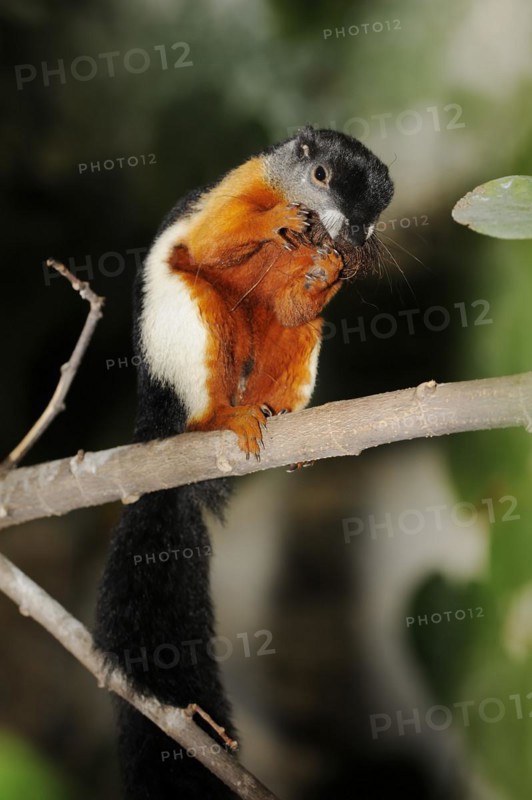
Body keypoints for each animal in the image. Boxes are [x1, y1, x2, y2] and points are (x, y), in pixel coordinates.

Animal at [94, 127, 393, 799]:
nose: (354, 233)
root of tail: (158, 431)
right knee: (204, 346)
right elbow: (211, 241)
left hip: (288, 354)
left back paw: (279, 423)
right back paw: (223, 420)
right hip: (193, 328)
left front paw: (331, 270)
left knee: (292, 329)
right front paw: (280, 220)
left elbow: (294, 306)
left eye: (380, 209)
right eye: (321, 175)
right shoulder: (235, 190)